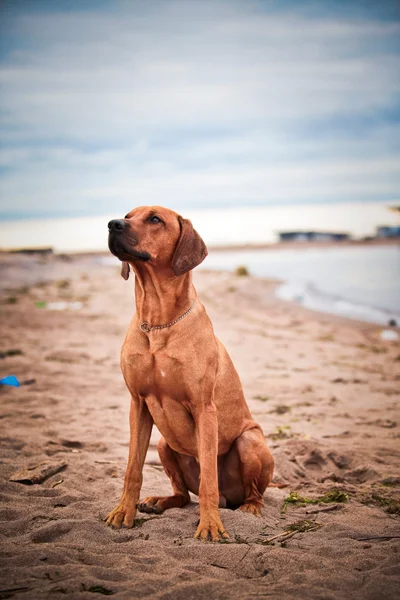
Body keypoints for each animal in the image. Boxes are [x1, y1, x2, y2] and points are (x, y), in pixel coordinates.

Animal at [106, 207, 276, 544]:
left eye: (155, 219)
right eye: (128, 215)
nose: (112, 224)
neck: (157, 321)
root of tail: (229, 499)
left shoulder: (204, 408)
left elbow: (209, 477)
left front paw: (210, 525)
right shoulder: (137, 404)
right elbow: (133, 469)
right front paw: (122, 512)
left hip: (249, 440)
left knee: (249, 492)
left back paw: (250, 507)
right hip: (163, 444)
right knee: (184, 496)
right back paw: (160, 501)